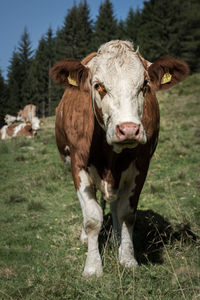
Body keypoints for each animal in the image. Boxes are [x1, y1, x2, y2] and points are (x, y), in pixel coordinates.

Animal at [50, 39, 189, 276]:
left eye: (145, 84)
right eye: (98, 85)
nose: (129, 129)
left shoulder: (140, 166)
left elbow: (126, 213)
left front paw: (127, 257)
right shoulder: (78, 165)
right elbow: (92, 218)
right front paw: (92, 267)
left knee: (114, 205)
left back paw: (116, 237)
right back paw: (87, 238)